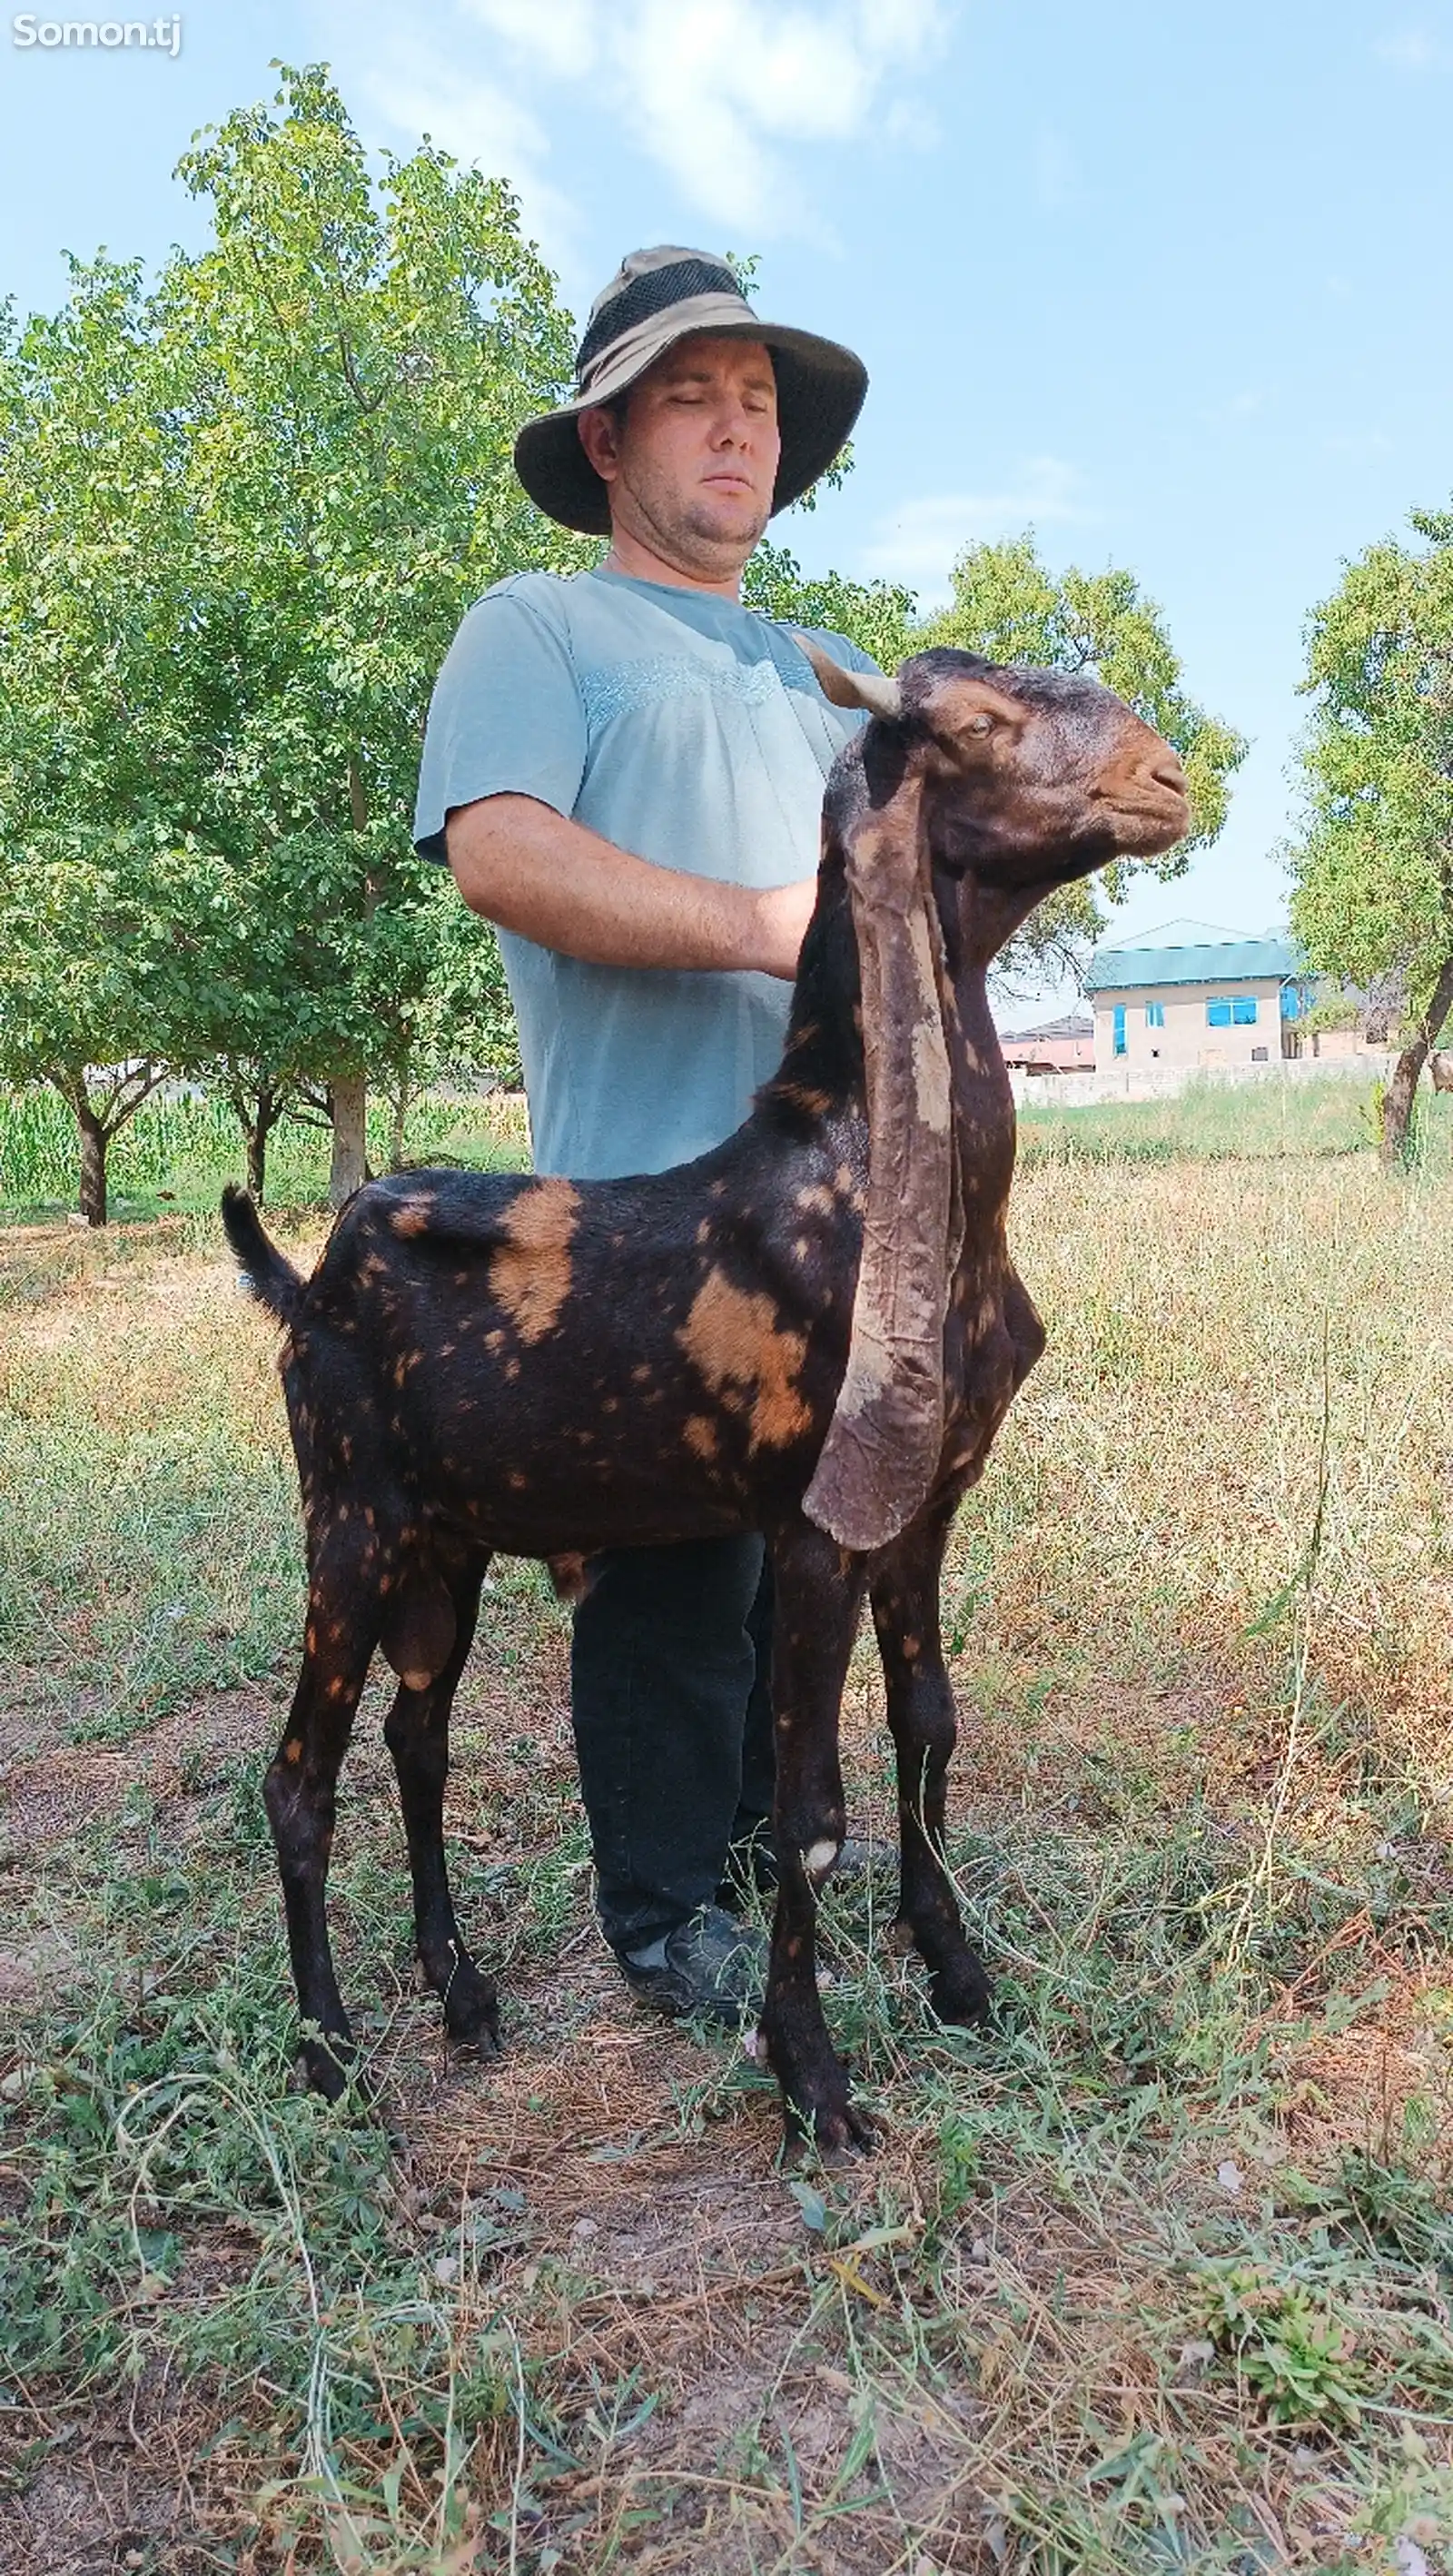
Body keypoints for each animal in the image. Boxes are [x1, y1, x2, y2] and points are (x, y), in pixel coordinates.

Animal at [221, 644, 1184, 2153]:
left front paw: (960, 1975)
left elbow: (931, 1723)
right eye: (972, 722)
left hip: (448, 1540)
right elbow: (806, 1812)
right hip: (350, 1516)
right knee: (299, 1778)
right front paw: (815, 2078)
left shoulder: (923, 1504)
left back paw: (462, 1993)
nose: (1169, 776)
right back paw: (329, 2055)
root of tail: (306, 1278)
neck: (856, 1171)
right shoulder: (814, 1522)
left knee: (415, 1736)